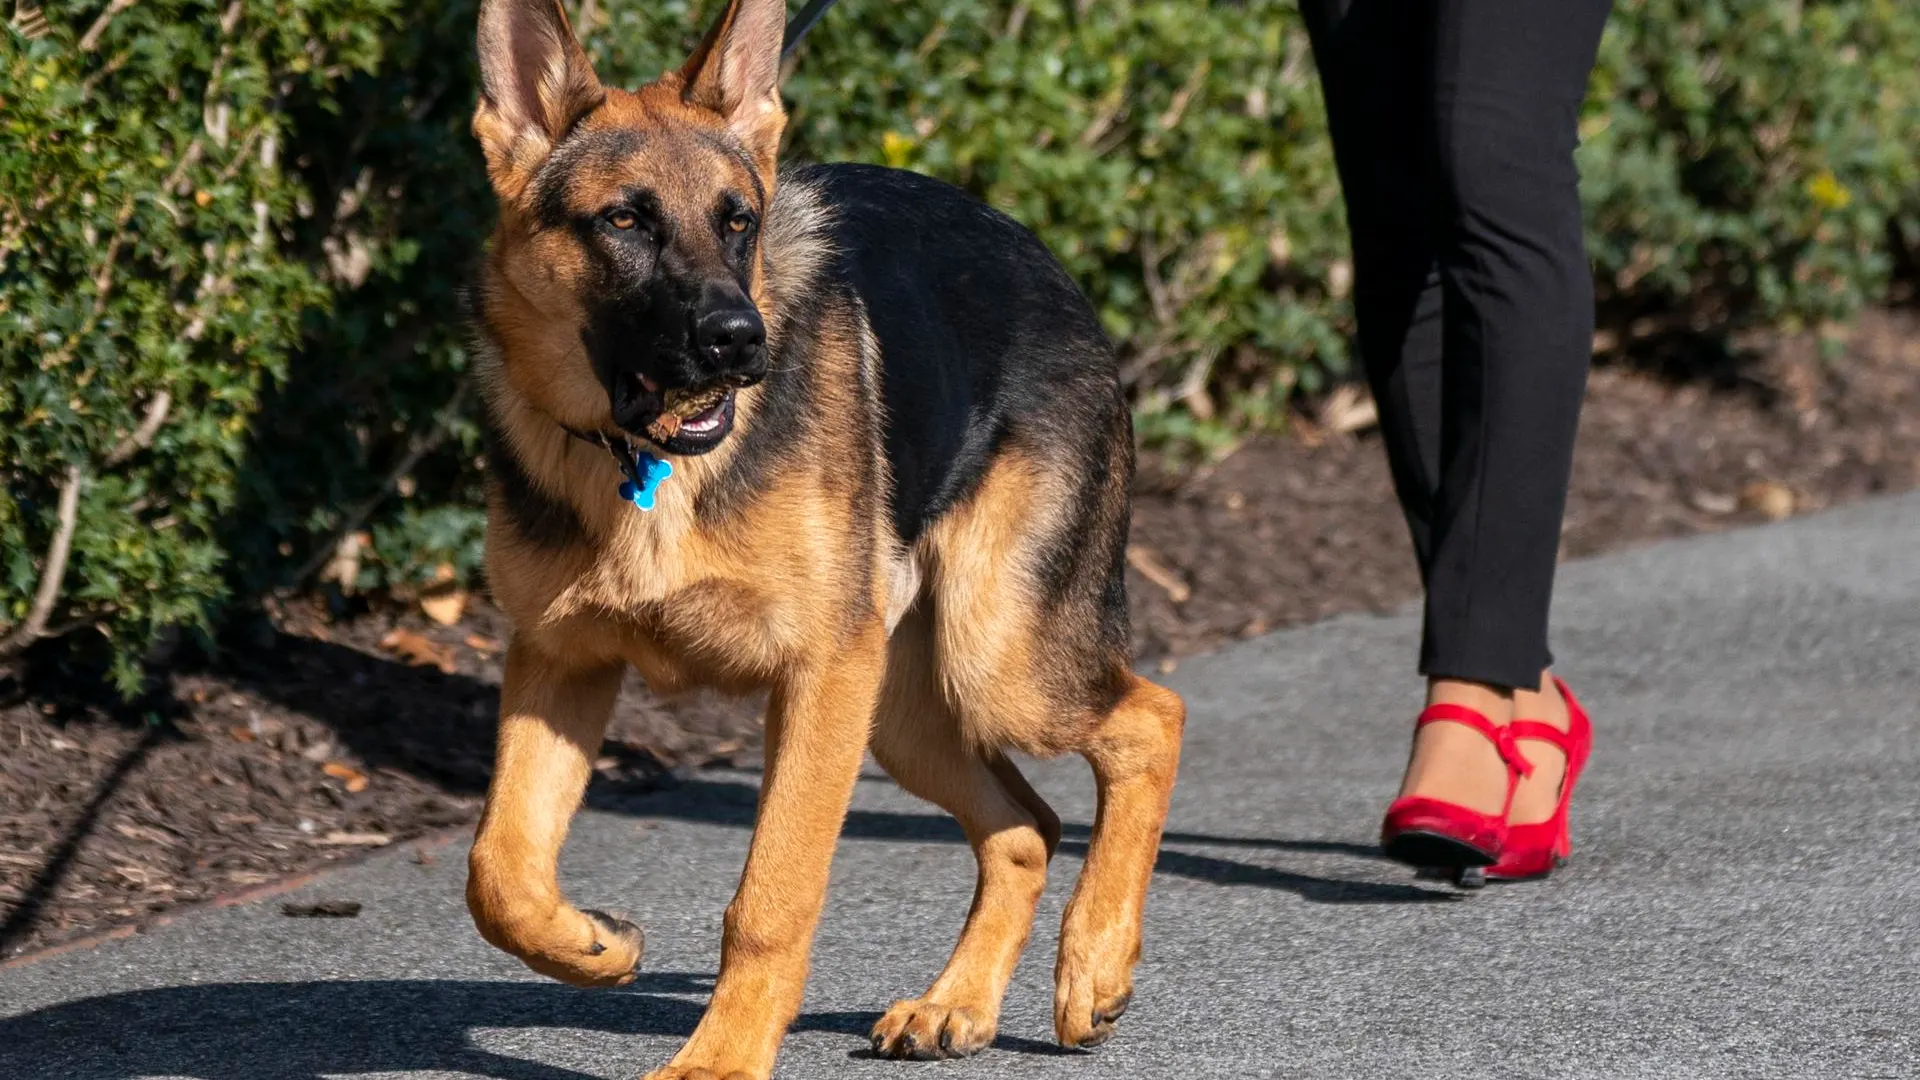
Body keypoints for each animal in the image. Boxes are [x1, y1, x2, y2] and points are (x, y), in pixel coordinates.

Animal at [466, 2, 1182, 1068]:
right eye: (623, 220)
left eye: (740, 221)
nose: (740, 342)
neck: (647, 465)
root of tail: (1041, 257)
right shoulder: (560, 661)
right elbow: (499, 871)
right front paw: (593, 945)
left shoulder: (818, 675)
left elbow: (773, 897)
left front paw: (719, 1061)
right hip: (901, 712)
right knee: (1026, 826)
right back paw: (957, 1002)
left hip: (993, 664)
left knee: (1150, 721)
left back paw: (1094, 961)